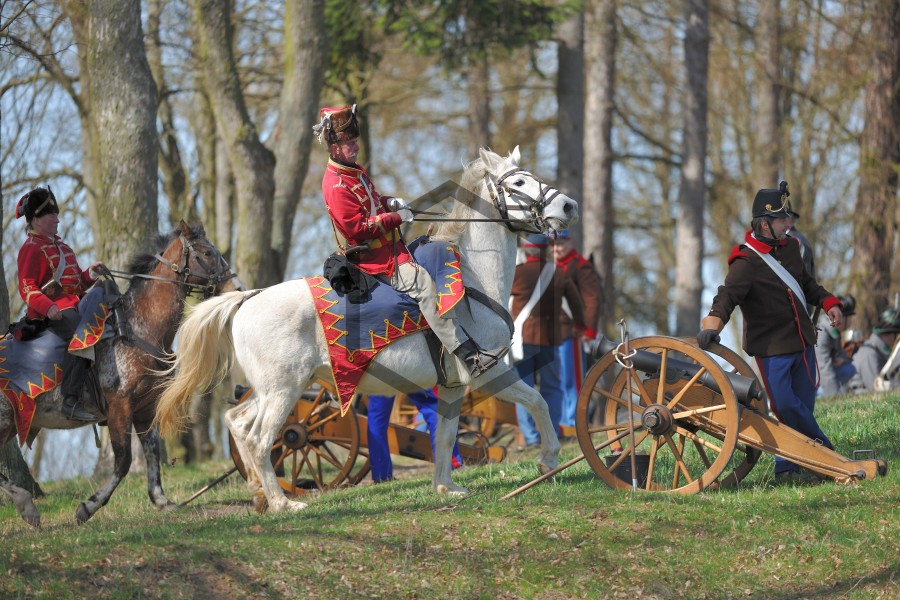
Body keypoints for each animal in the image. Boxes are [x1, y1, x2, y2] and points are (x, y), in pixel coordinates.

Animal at [0, 222, 241, 527]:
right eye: (207, 252)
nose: (236, 287)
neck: (137, 330)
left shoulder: (145, 408)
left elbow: (151, 451)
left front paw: (162, 500)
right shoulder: (120, 407)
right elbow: (124, 461)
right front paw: (88, 507)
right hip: (5, 421)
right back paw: (27, 505)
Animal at [154, 147, 579, 513]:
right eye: (519, 182)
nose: (569, 205)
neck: (474, 278)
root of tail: (247, 300)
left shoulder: (454, 385)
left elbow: (444, 433)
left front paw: (446, 486)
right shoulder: (489, 372)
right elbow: (539, 403)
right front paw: (548, 460)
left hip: (270, 389)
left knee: (239, 425)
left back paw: (260, 494)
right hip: (284, 391)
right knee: (261, 440)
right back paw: (282, 503)